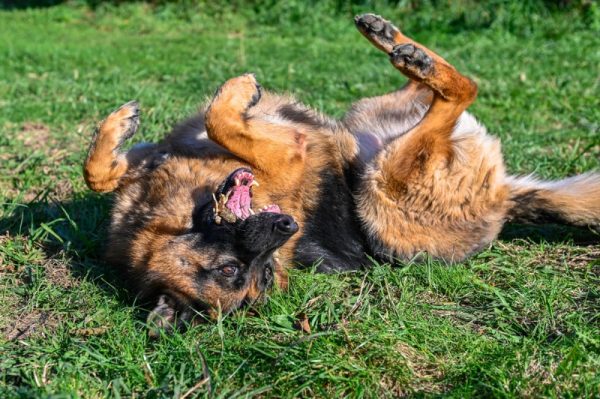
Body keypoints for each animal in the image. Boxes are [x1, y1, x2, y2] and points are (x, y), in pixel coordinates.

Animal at [82, 14, 596, 332]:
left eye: (260, 271)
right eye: (240, 272)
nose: (287, 225)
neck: (171, 213)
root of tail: (505, 202)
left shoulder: (181, 158)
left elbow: (105, 169)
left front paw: (118, 129)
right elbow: (207, 126)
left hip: (367, 131)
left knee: (454, 87)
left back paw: (396, 42)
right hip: (385, 182)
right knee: (460, 93)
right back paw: (408, 54)